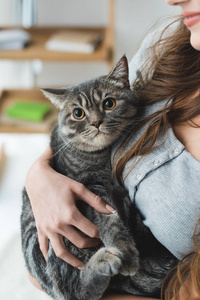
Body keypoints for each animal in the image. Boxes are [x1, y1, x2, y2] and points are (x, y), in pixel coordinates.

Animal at [21, 56, 178, 300]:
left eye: (109, 104)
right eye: (78, 113)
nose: (96, 122)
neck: (104, 160)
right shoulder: (89, 190)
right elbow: (111, 222)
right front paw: (127, 254)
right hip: (50, 248)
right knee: (73, 290)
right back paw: (105, 260)